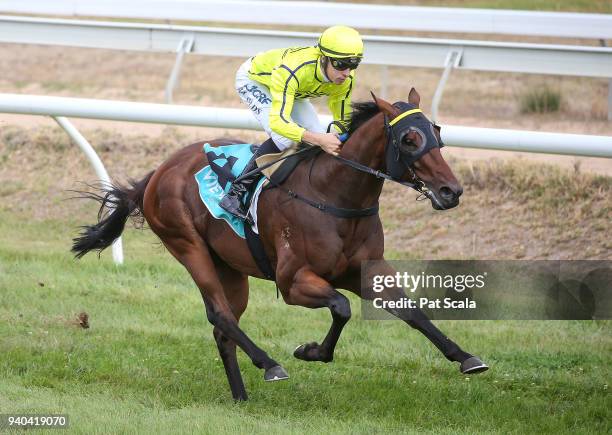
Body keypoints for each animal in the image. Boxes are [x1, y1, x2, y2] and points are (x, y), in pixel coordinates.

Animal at [73, 87, 488, 402]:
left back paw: (241, 397)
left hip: (229, 267)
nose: (451, 191)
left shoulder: (367, 271)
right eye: (409, 139)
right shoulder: (292, 281)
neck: (335, 195)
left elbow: (412, 311)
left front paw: (466, 357)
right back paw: (270, 365)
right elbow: (341, 307)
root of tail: (158, 172)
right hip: (188, 247)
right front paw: (311, 351)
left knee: (223, 327)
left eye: (437, 132)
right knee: (220, 315)